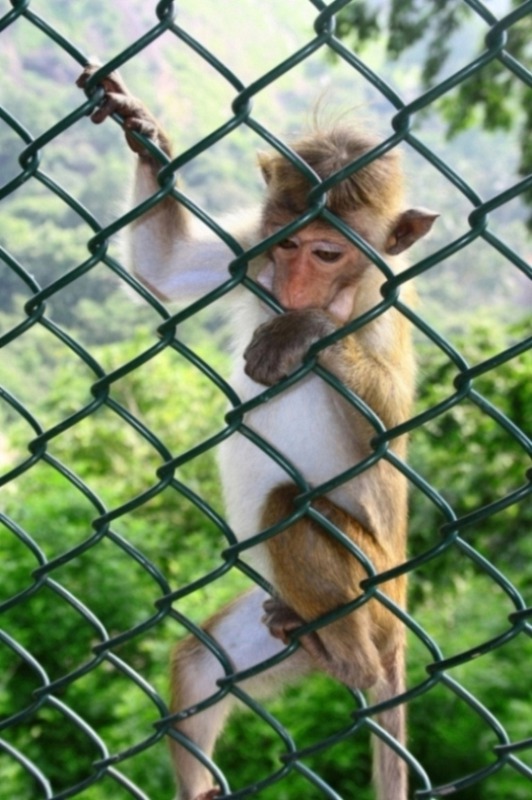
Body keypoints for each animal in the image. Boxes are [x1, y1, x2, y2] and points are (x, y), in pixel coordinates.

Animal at [78, 64, 436, 800]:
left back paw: (353, 661)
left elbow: (390, 420)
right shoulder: (251, 255)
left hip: (376, 591)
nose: (294, 284)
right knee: (203, 660)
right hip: (275, 622)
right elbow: (165, 266)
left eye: (326, 252)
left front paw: (305, 331)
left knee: (288, 507)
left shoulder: (383, 309)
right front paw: (145, 132)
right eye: (286, 244)